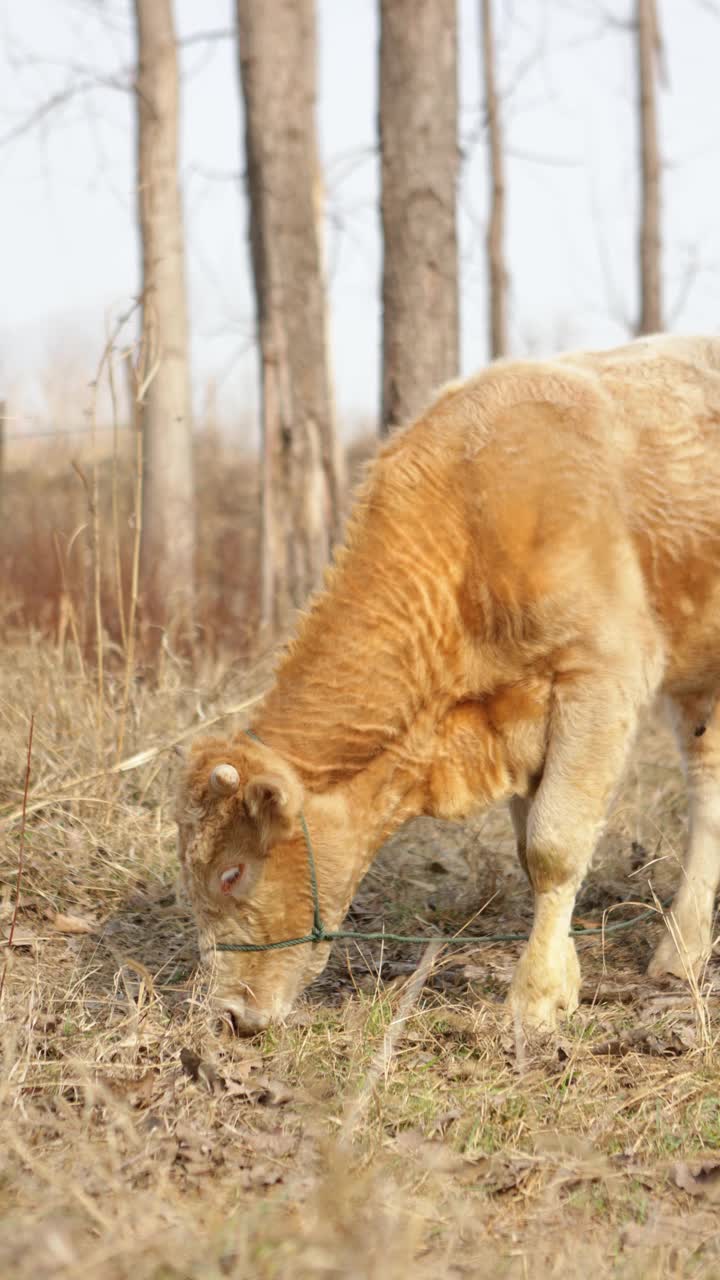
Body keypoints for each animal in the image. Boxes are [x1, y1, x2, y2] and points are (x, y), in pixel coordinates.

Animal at [176, 337, 717, 1029]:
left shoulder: (599, 672)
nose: (224, 1012)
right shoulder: (521, 717)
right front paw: (566, 978)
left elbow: (555, 844)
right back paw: (682, 951)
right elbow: (529, 845)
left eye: (231, 874)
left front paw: (535, 998)